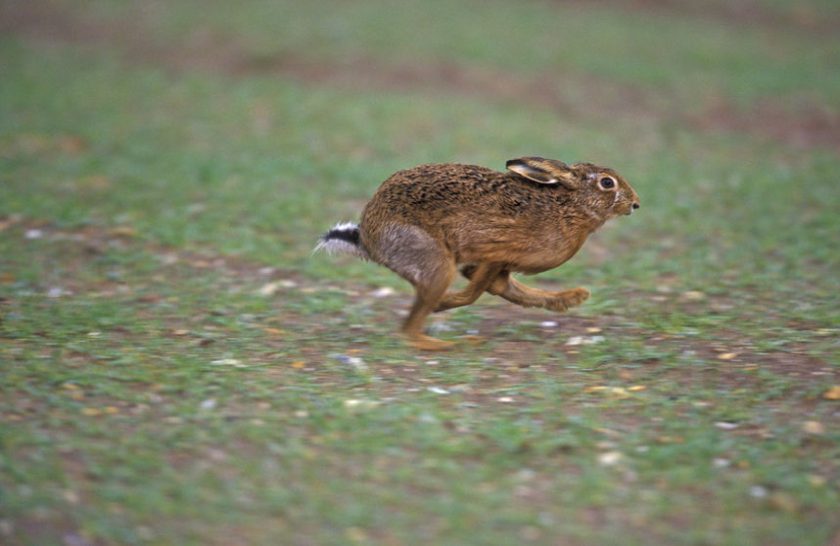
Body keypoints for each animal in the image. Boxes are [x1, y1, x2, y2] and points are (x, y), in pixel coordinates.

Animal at [315, 157, 640, 350]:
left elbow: (508, 289)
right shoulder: (495, 254)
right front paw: (444, 306)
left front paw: (572, 298)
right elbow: (474, 293)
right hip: (434, 263)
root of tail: (368, 238)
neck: (570, 208)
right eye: (607, 182)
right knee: (410, 327)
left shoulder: (501, 264)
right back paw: (442, 342)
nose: (635, 204)